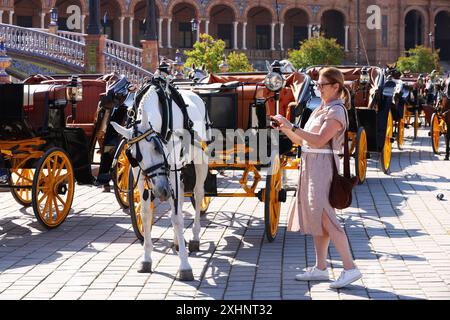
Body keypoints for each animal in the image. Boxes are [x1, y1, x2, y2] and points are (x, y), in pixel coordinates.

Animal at [111, 75, 212, 280]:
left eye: (157, 148)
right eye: (133, 156)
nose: (161, 191)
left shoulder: (172, 169)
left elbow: (177, 218)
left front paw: (184, 265)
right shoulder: (141, 175)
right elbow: (145, 214)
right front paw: (146, 259)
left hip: (200, 160)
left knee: (198, 194)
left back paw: (195, 237)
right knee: (181, 196)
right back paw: (177, 240)